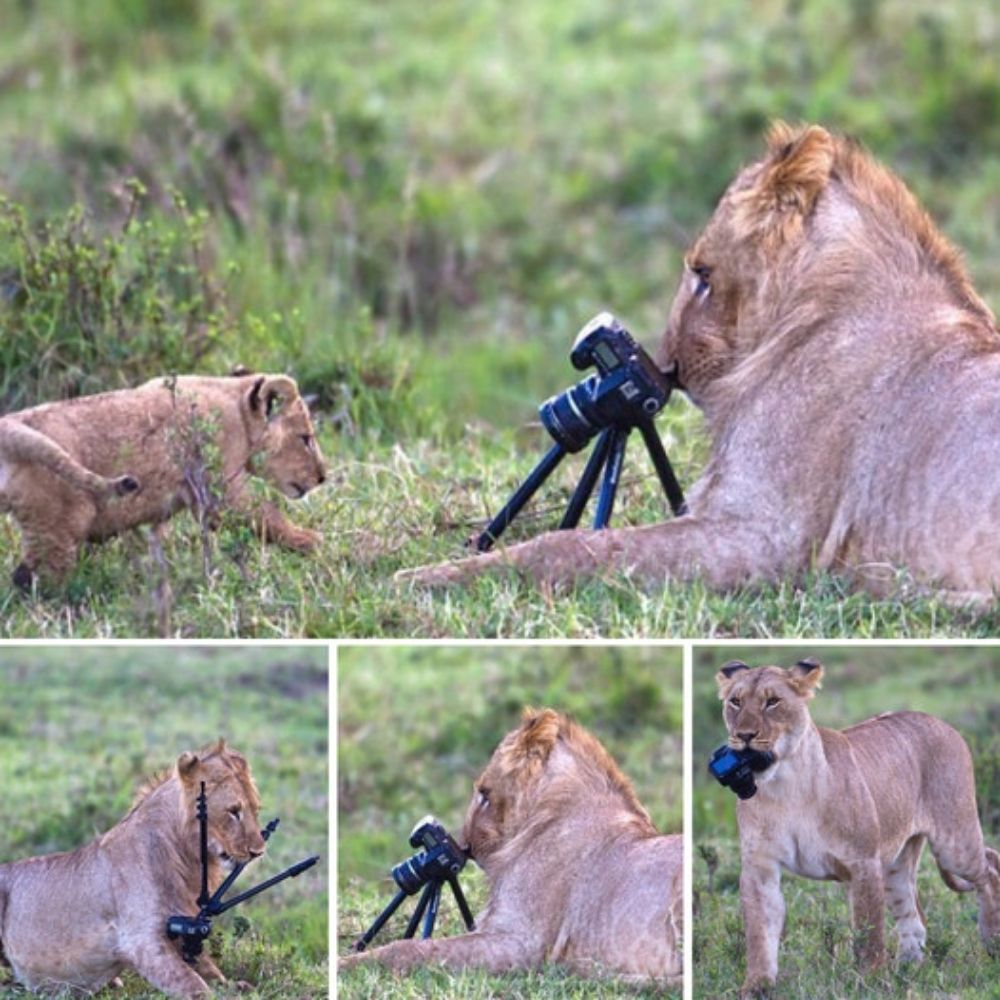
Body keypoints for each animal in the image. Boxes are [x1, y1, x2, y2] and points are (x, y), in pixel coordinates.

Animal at [0, 376, 326, 588]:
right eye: (305, 438)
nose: (323, 476)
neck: (238, 408)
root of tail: (10, 424)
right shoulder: (221, 491)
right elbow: (268, 517)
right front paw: (313, 542)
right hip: (58, 527)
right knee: (34, 581)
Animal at [0, 740, 268, 996]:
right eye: (234, 811)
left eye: (256, 809)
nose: (258, 851)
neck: (185, 856)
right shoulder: (141, 940)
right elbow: (196, 986)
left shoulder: (186, 927)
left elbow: (212, 972)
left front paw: (240, 987)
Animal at [716, 660, 1000, 996]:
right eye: (735, 702)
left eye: (772, 702)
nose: (744, 736)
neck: (784, 786)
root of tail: (940, 722)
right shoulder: (760, 867)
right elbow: (760, 932)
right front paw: (756, 986)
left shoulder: (862, 862)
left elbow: (868, 931)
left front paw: (872, 980)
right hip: (894, 864)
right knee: (913, 915)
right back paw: (908, 968)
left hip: (953, 844)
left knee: (990, 865)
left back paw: (992, 940)